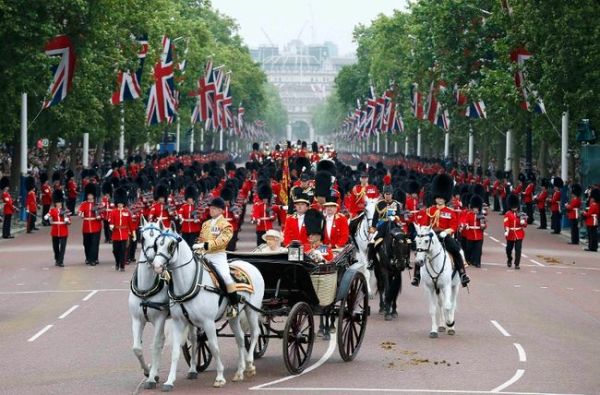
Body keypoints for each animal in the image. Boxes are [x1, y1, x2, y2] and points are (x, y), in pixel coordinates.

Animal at [151, 227, 264, 392]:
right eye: (156, 244)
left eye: (171, 245)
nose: (156, 266)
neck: (190, 284)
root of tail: (249, 264)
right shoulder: (179, 322)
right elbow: (175, 352)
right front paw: (169, 382)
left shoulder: (208, 322)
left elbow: (214, 347)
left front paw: (220, 378)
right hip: (234, 317)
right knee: (241, 339)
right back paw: (239, 372)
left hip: (252, 311)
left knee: (255, 333)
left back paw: (250, 365)